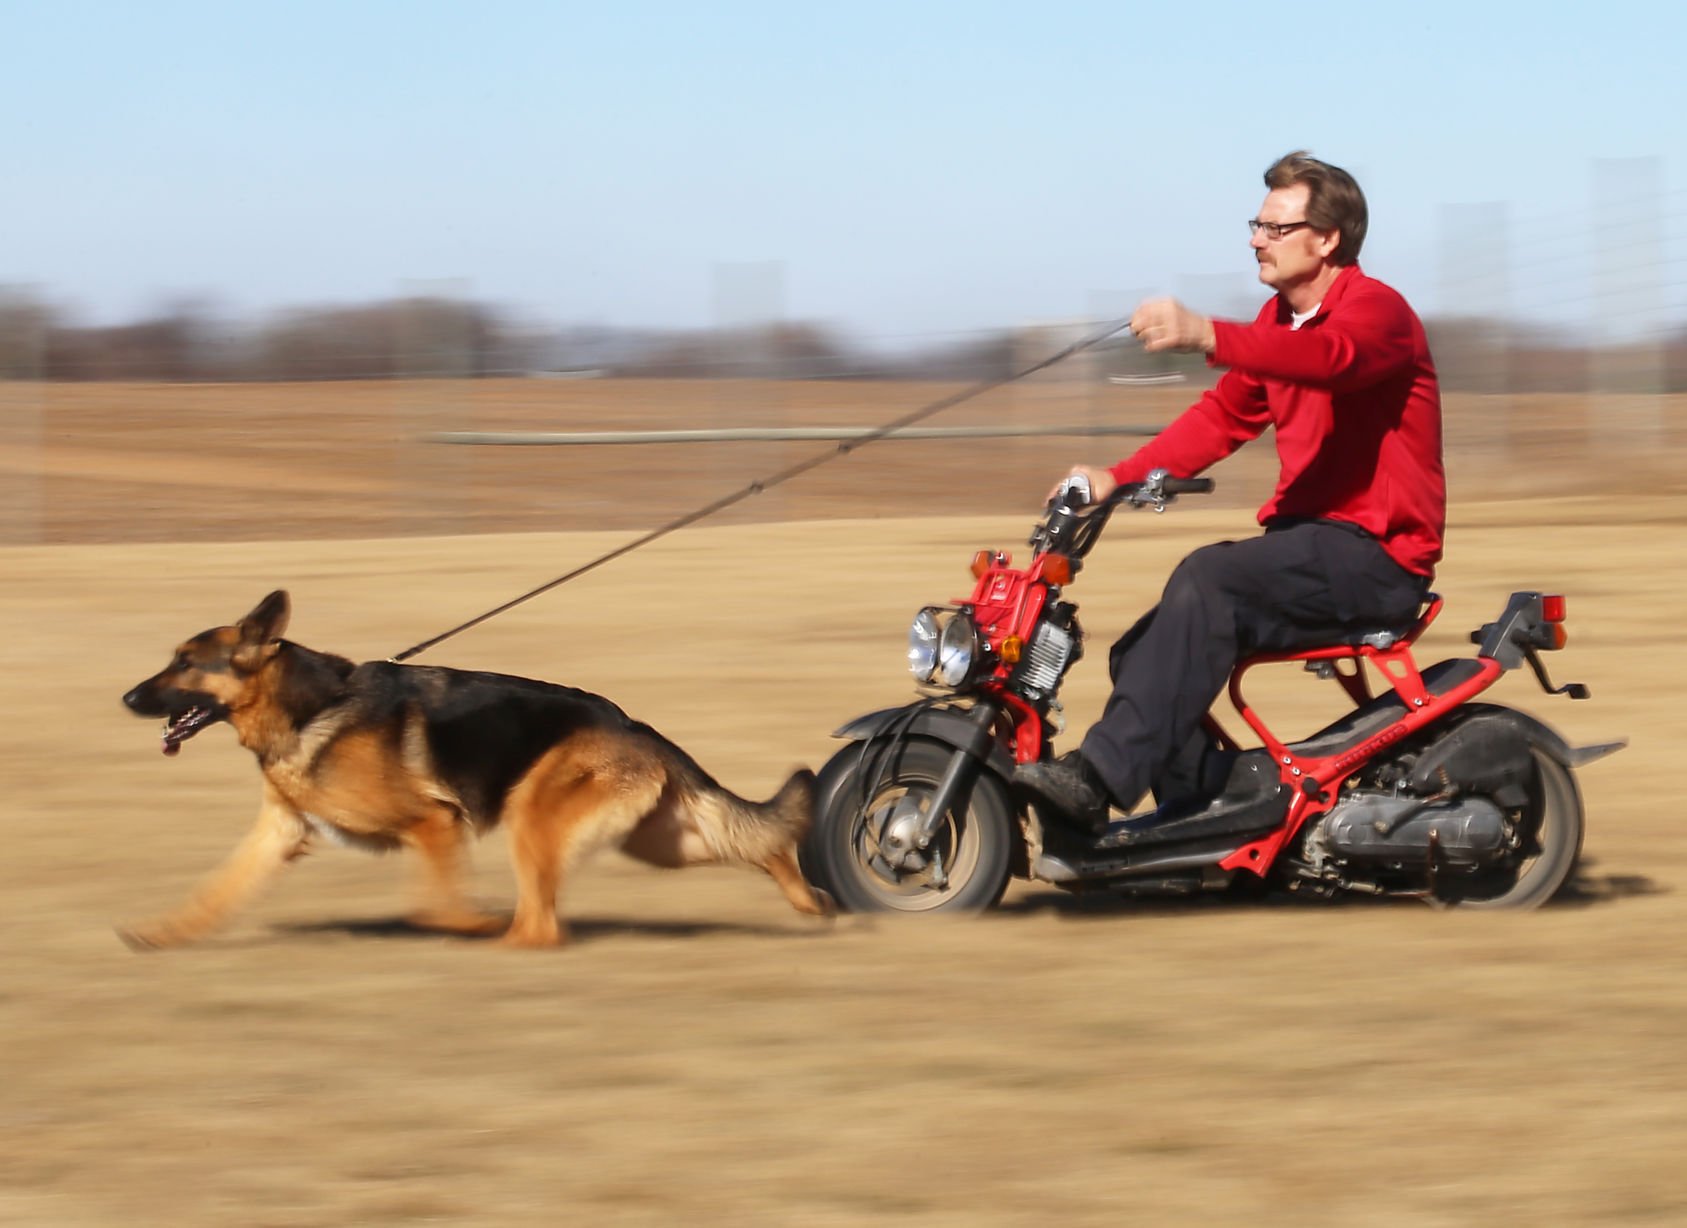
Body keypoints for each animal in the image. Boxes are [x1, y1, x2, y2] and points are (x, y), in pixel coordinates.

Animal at [118, 593, 830, 951]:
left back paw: (502, 940)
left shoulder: (435, 822)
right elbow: (216, 891)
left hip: (534, 823)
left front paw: (469, 921)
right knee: (760, 845)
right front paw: (161, 933)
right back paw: (811, 902)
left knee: (541, 929)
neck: (310, 708)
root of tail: (637, 726)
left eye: (185, 663)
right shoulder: (279, 833)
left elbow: (434, 905)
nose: (126, 698)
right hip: (660, 839)